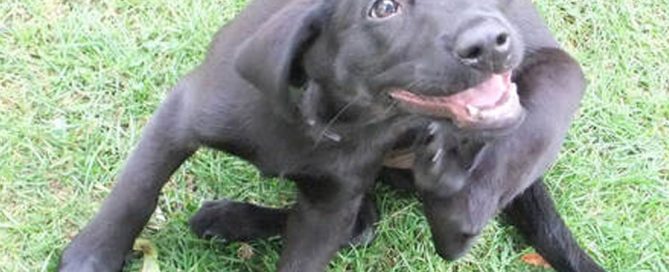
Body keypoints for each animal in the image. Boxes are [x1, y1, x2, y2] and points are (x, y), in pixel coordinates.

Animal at [60, 0, 604, 270]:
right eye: (382, 8)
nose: (492, 42)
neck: (330, 119)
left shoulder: (329, 205)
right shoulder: (180, 116)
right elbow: (135, 192)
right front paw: (90, 259)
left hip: (561, 80)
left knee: (453, 225)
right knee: (364, 223)